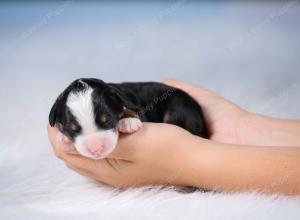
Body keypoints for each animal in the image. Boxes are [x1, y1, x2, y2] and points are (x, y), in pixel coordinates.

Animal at [49, 78, 209, 159]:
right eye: (72, 129)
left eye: (108, 120)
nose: (96, 149)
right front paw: (63, 138)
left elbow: (129, 109)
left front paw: (128, 122)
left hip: (180, 107)